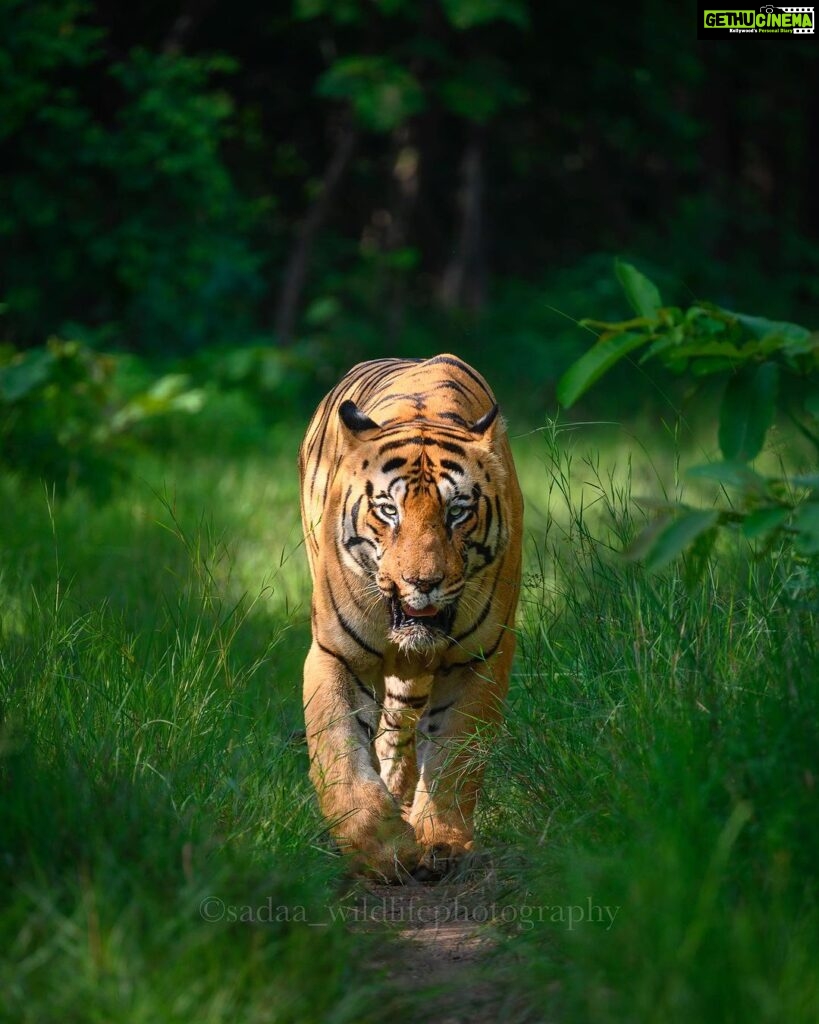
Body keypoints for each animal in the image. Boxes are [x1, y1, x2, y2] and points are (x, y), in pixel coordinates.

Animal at [296, 354, 522, 880]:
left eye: (457, 511)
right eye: (388, 510)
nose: (423, 581)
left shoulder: (480, 659)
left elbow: (457, 757)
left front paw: (440, 840)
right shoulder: (336, 653)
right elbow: (338, 750)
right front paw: (382, 849)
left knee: (399, 728)